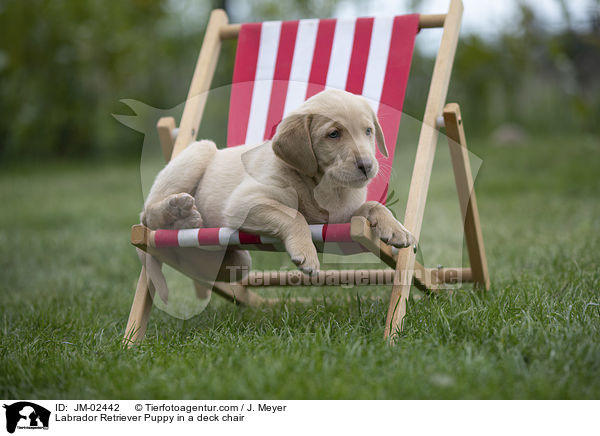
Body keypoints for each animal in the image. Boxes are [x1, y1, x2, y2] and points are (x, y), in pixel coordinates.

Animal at [142, 89, 412, 276]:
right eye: (333, 134)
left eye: (368, 131)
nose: (367, 165)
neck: (324, 187)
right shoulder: (243, 202)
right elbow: (294, 215)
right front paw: (306, 253)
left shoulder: (341, 219)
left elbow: (375, 206)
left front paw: (396, 228)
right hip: (199, 151)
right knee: (147, 215)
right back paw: (177, 209)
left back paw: (188, 221)